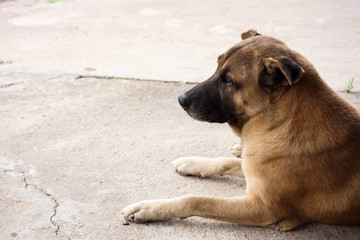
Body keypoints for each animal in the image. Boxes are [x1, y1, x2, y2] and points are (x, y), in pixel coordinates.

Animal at [121, 29, 360, 230]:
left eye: (228, 81)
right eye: (216, 67)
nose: (181, 100)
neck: (274, 120)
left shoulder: (263, 208)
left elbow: (198, 200)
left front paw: (150, 208)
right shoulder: (252, 167)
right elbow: (225, 162)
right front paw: (194, 163)